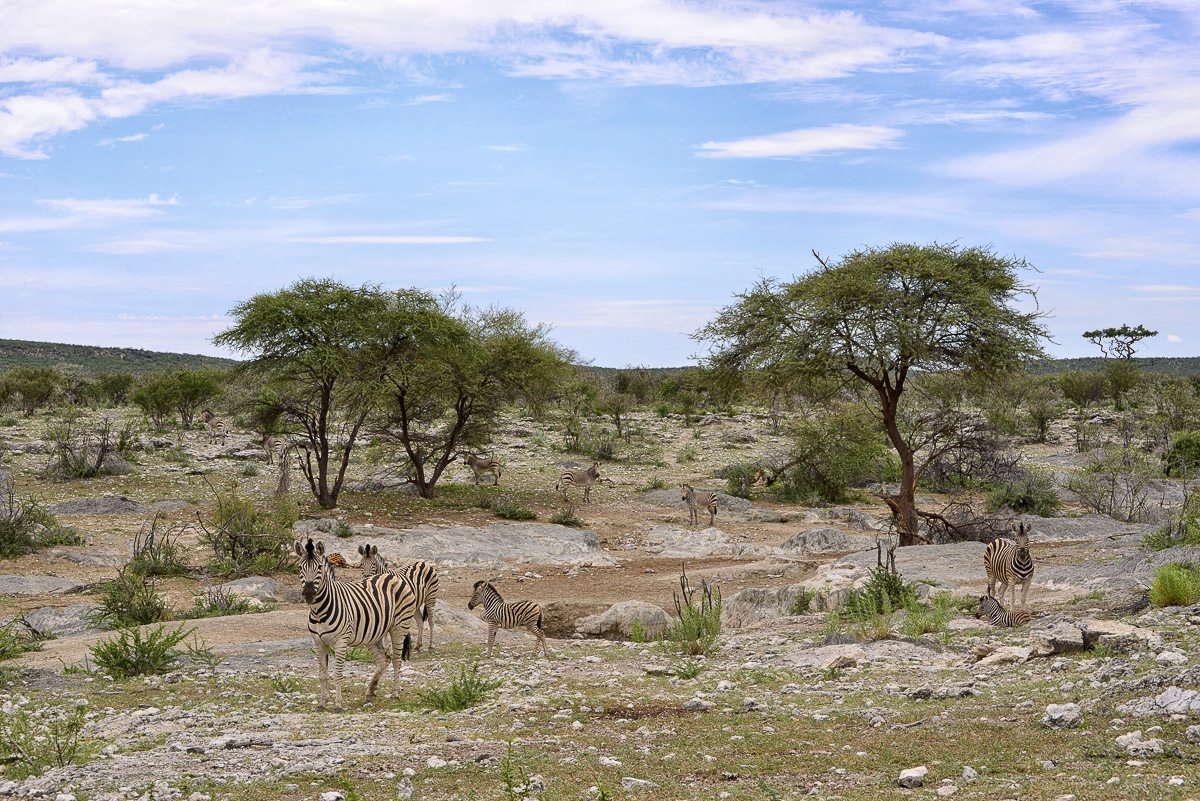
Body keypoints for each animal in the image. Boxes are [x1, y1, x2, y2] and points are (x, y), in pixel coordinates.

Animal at [293, 537, 416, 711]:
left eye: (319, 567)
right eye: (299, 567)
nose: (309, 594)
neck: (318, 611)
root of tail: (392, 576)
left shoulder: (340, 641)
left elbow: (337, 673)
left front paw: (338, 704)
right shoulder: (318, 642)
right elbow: (322, 675)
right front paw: (322, 703)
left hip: (399, 628)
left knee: (396, 660)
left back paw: (395, 694)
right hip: (373, 634)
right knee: (384, 660)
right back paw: (370, 692)